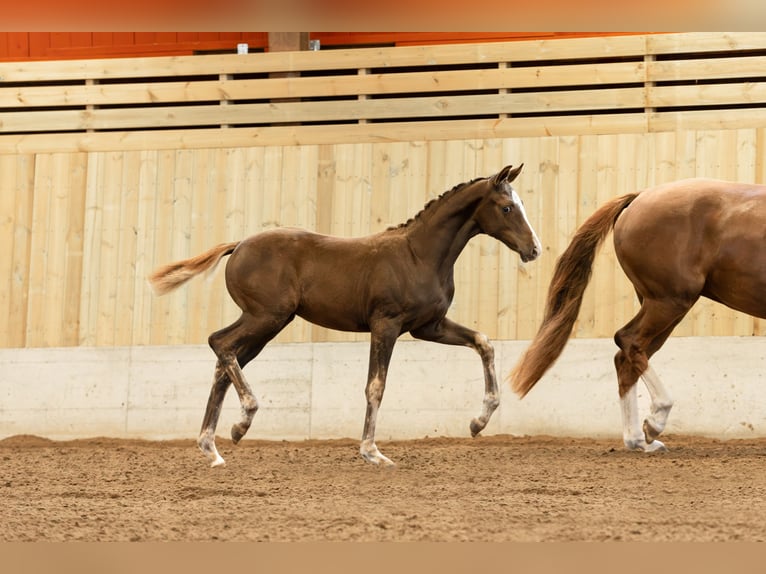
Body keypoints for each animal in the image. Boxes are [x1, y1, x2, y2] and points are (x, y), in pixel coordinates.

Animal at [152, 163, 544, 468]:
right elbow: (376, 386)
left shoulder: (428, 327)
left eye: (522, 203)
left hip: (266, 324)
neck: (420, 255)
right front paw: (372, 452)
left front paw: (478, 422)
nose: (534, 250)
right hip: (265, 317)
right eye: (507, 207)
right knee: (219, 343)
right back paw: (243, 418)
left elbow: (484, 342)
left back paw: (214, 446)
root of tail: (238, 246)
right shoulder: (386, 325)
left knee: (224, 362)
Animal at [512, 178, 766, 452]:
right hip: (668, 301)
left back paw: (637, 440)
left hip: (663, 305)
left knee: (626, 358)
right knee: (629, 342)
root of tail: (639, 197)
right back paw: (654, 422)